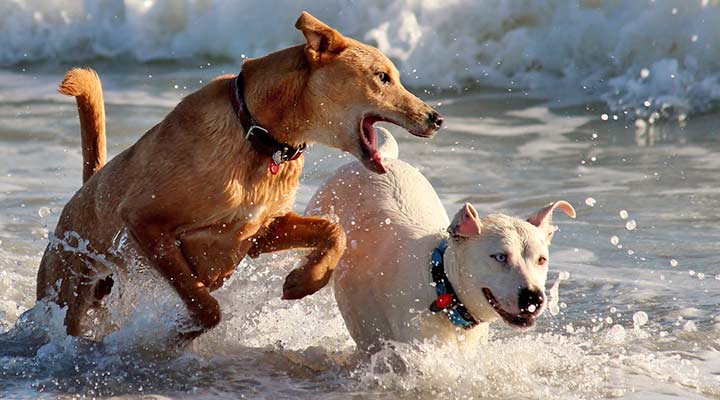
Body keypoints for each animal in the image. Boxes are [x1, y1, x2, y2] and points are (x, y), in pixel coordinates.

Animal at [40, 10, 444, 340]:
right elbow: (203, 300)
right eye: (382, 77)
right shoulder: (143, 219)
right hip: (64, 287)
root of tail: (86, 189)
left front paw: (304, 281)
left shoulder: (261, 231)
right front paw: (184, 327)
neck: (258, 135)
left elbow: (335, 231)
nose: (437, 118)